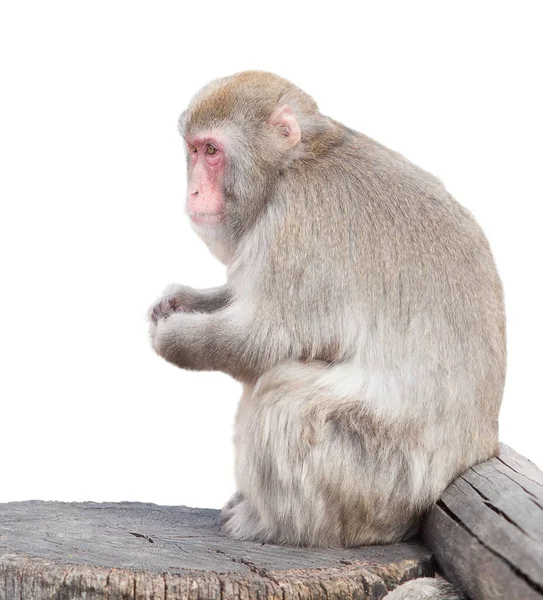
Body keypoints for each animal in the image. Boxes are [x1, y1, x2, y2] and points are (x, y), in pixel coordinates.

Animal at [148, 71, 506, 552]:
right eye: (193, 150)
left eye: (211, 151)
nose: (193, 190)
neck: (294, 163)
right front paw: (179, 302)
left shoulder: (295, 222)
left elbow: (263, 340)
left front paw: (172, 339)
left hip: (377, 482)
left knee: (283, 397)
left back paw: (273, 524)